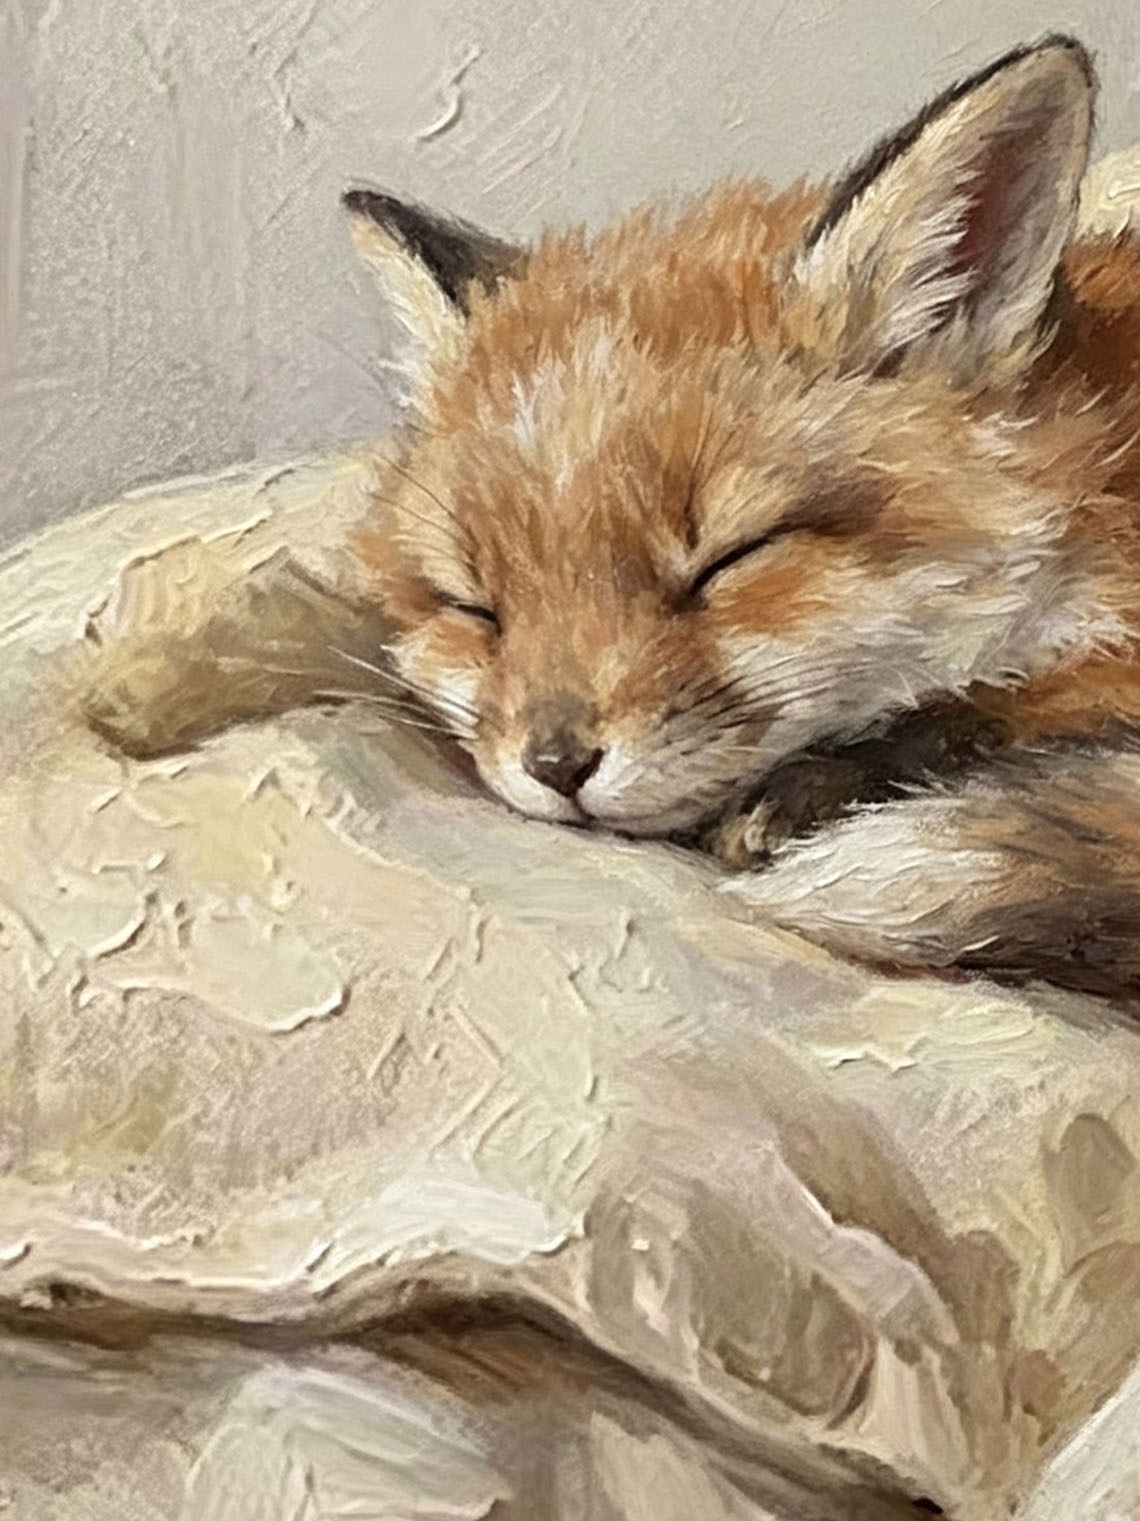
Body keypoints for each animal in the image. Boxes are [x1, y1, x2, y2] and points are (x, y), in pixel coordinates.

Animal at [85, 36, 1140, 1003]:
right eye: (477, 606)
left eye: (728, 560)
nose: (556, 765)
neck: (1100, 498)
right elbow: (320, 622)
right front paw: (149, 683)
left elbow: (1002, 716)